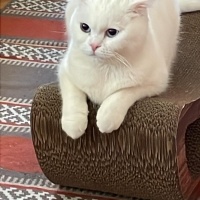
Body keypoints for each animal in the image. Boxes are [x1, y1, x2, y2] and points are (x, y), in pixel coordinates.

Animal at [58, 0, 200, 139]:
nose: (93, 45)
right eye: (84, 27)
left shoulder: (156, 83)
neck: (105, 66)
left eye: (112, 32)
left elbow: (123, 93)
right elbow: (73, 97)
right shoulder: (65, 70)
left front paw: (107, 116)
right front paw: (73, 124)